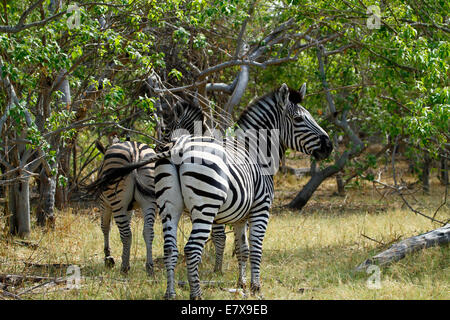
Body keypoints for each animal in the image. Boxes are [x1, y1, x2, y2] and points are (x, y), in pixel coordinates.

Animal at [91, 84, 332, 298]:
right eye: (299, 119)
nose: (329, 146)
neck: (255, 150)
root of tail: (178, 148)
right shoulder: (261, 208)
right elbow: (254, 248)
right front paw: (255, 288)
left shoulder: (239, 216)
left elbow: (242, 249)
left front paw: (241, 284)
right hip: (205, 207)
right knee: (191, 249)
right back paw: (196, 295)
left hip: (169, 207)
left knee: (169, 248)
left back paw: (170, 293)